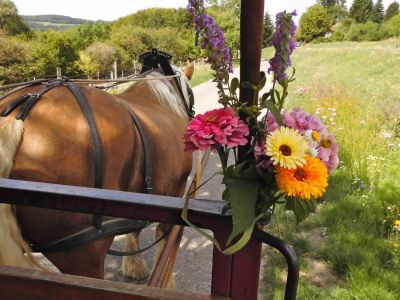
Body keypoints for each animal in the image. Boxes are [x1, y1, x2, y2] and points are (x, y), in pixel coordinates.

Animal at [0, 62, 195, 282]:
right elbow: (165, 250)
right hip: (83, 256)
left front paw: (134, 266)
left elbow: (136, 227)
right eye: (190, 93)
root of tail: (20, 110)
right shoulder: (177, 191)